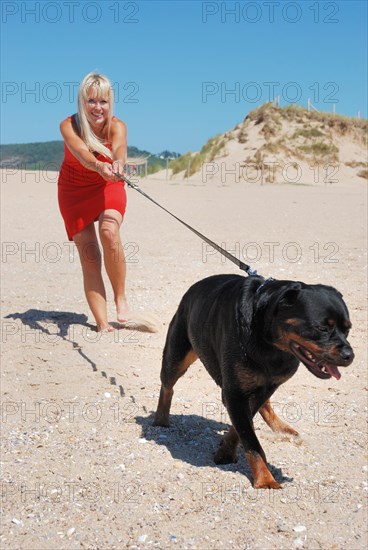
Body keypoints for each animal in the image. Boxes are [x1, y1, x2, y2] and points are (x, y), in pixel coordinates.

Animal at [153, 276, 354, 492]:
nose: (349, 355)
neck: (270, 345)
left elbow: (243, 425)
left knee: (264, 403)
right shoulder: (234, 393)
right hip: (177, 354)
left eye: (347, 329)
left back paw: (281, 428)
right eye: (322, 328)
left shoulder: (255, 389)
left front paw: (226, 450)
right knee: (167, 386)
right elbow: (250, 438)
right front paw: (265, 480)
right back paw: (160, 419)